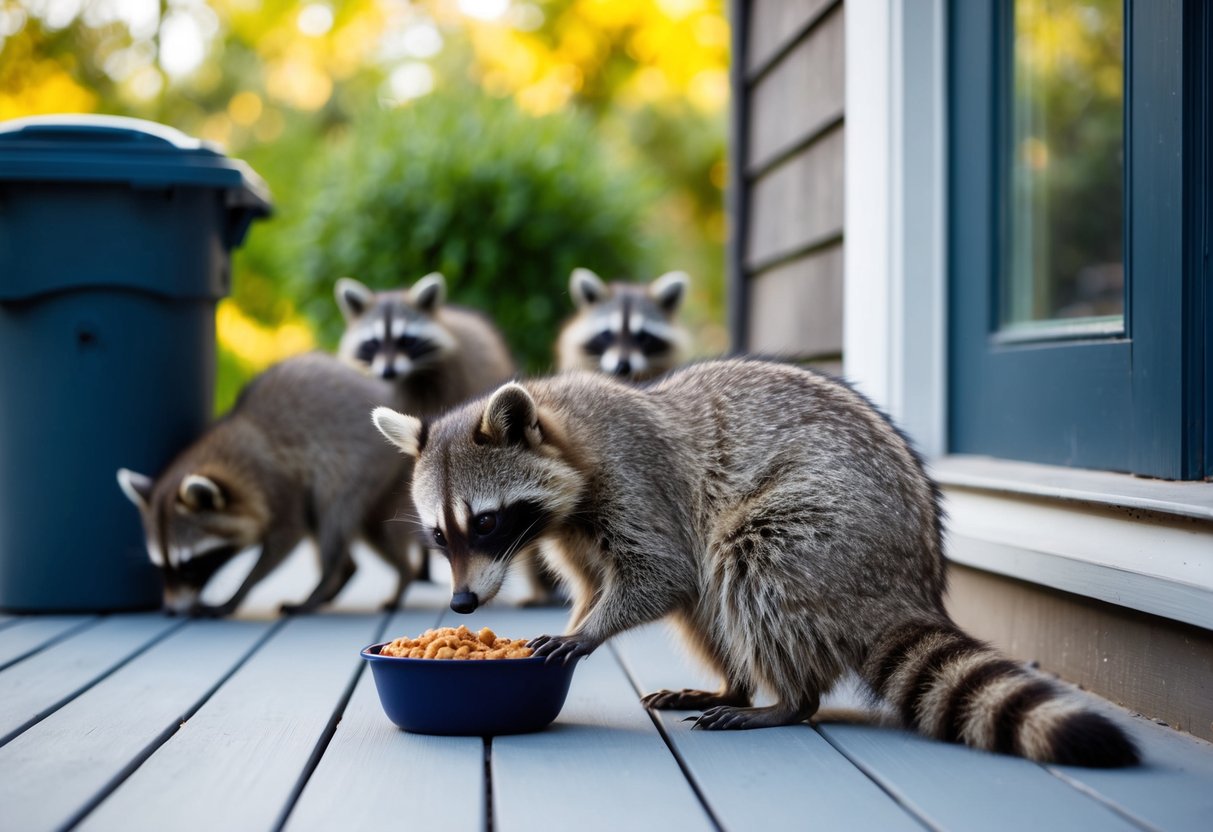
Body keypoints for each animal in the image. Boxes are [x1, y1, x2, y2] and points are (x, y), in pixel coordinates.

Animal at [118, 353, 416, 617]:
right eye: (161, 567)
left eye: (189, 566)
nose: (170, 610)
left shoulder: (279, 483)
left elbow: (287, 534)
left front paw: (237, 594)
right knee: (367, 529)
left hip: (359, 464)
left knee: (333, 514)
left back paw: (330, 583)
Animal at [370, 359, 1138, 767]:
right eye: (440, 535)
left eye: (486, 522)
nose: (463, 604)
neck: (569, 428)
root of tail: (912, 582)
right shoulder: (574, 530)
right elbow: (613, 582)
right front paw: (581, 615)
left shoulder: (637, 479)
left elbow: (663, 573)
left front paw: (585, 631)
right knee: (710, 607)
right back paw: (735, 684)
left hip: (826, 537)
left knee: (743, 565)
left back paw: (785, 700)